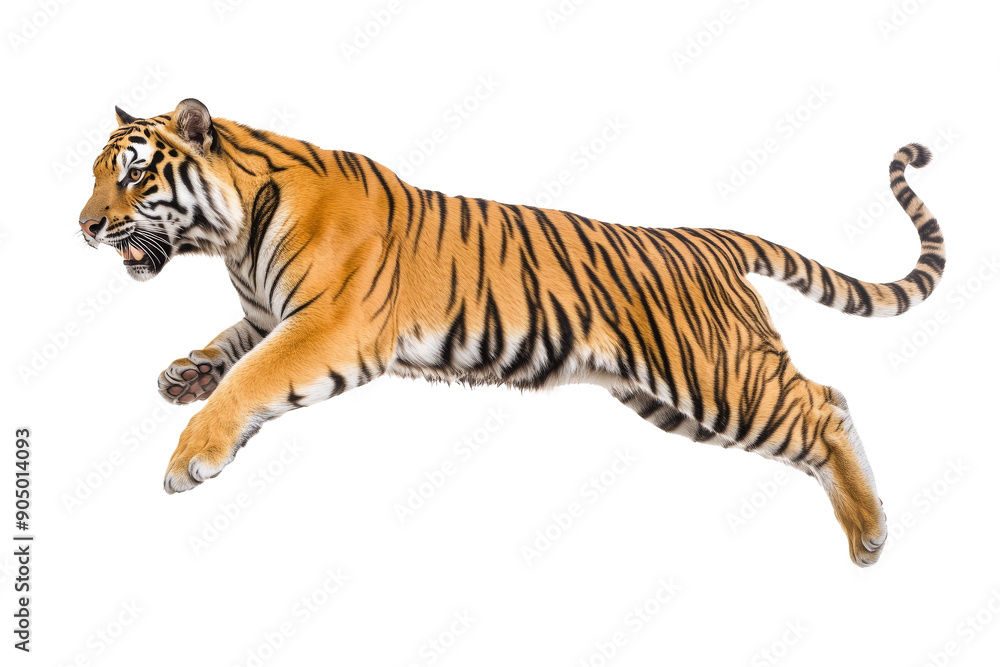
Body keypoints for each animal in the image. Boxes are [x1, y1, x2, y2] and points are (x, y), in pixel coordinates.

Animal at [78, 98, 945, 567]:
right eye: (95, 173)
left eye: (133, 173)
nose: (83, 227)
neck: (231, 236)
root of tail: (706, 238)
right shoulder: (269, 316)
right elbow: (230, 348)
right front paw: (184, 372)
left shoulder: (328, 325)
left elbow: (251, 377)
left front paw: (191, 456)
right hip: (673, 397)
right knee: (819, 410)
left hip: (718, 376)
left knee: (823, 405)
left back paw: (871, 532)